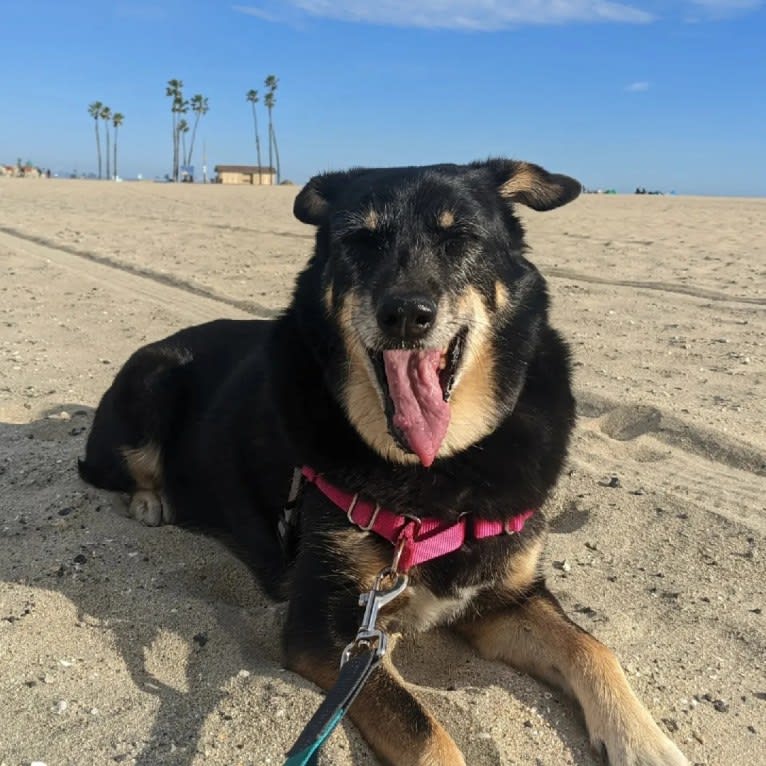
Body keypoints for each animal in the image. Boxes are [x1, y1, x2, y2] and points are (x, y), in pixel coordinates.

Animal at [79, 159, 688, 764]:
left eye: (460, 238)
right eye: (360, 241)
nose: (405, 316)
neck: (436, 470)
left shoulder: (506, 597)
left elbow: (591, 648)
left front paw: (646, 742)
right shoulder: (330, 629)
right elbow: (424, 734)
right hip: (154, 379)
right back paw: (150, 500)